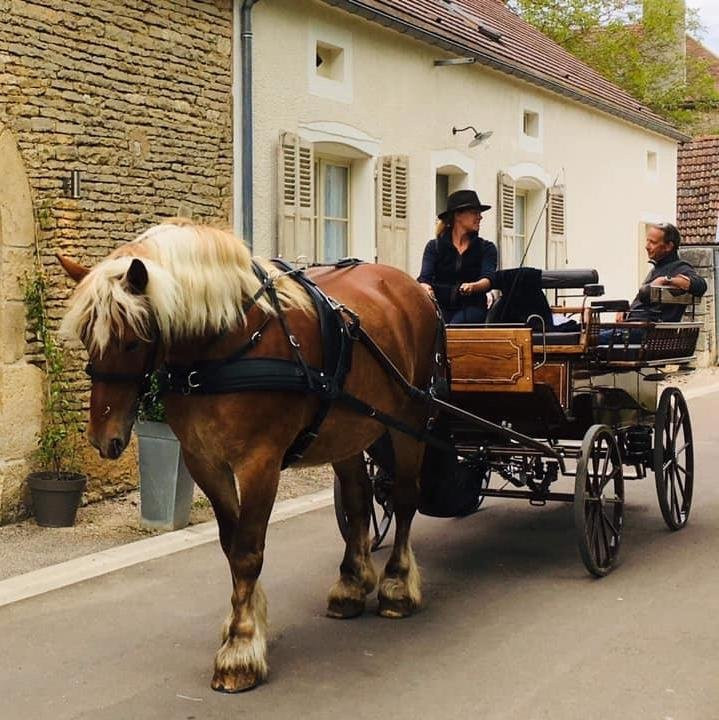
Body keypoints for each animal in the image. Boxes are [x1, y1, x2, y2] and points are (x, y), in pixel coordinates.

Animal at [57, 219, 438, 692]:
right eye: (87, 336)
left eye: (131, 341)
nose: (101, 438)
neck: (226, 345)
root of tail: (413, 288)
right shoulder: (204, 462)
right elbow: (231, 543)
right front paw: (247, 619)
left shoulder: (260, 464)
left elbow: (248, 551)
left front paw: (240, 647)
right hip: (347, 430)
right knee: (357, 500)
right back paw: (351, 582)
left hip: (411, 421)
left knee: (403, 498)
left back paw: (397, 585)